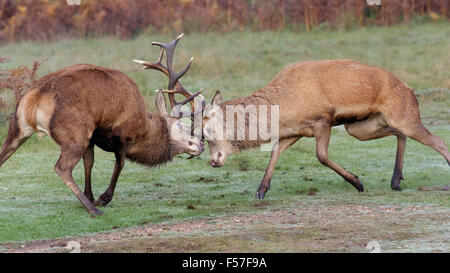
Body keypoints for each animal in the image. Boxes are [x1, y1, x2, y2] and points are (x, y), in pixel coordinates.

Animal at [0, 35, 204, 216]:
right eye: (181, 127)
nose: (201, 145)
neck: (145, 129)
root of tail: (36, 97)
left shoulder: (93, 138)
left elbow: (89, 163)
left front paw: (90, 196)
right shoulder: (123, 136)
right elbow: (119, 164)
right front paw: (103, 198)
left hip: (18, 127)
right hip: (75, 133)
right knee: (61, 167)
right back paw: (93, 210)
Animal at [204, 59, 450, 198]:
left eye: (207, 132)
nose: (213, 161)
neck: (284, 110)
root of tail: (410, 90)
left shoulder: (322, 120)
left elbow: (321, 155)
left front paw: (357, 182)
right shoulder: (296, 131)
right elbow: (275, 151)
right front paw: (261, 190)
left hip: (404, 115)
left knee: (438, 140)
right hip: (361, 127)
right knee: (400, 134)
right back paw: (396, 181)